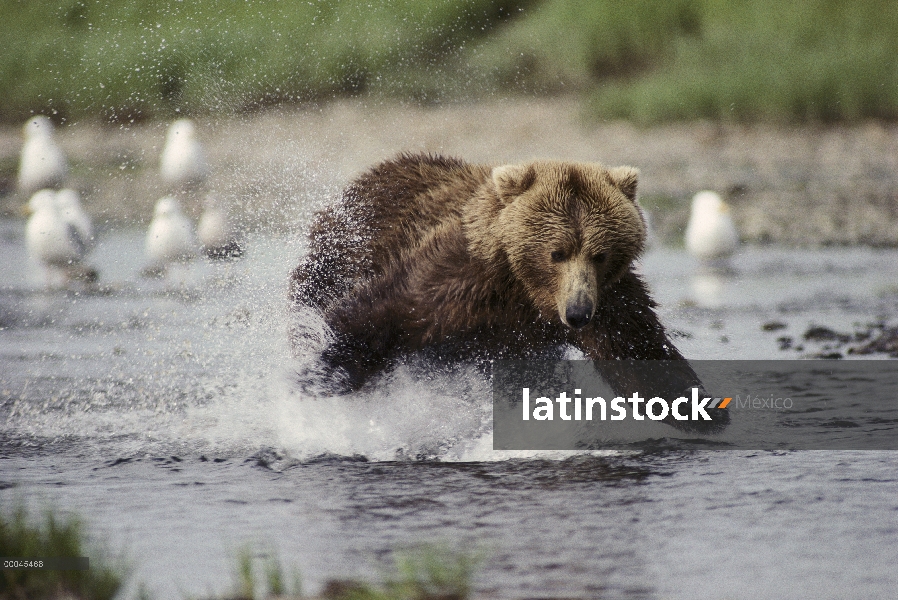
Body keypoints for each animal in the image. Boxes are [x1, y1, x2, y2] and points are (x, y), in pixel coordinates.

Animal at [294, 151, 728, 432]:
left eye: (600, 253)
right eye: (557, 252)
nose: (578, 313)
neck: (527, 294)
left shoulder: (610, 301)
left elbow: (640, 353)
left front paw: (704, 411)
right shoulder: (458, 277)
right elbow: (382, 311)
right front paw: (316, 379)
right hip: (340, 252)